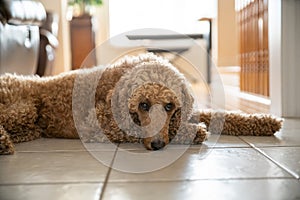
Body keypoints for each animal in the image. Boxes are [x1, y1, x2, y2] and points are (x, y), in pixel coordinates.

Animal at [0, 52, 282, 154]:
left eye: (169, 106)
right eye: (143, 105)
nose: (156, 145)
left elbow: (224, 115)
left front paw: (265, 121)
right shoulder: (96, 123)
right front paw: (195, 131)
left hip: (31, 125)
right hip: (23, 108)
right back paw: (4, 142)